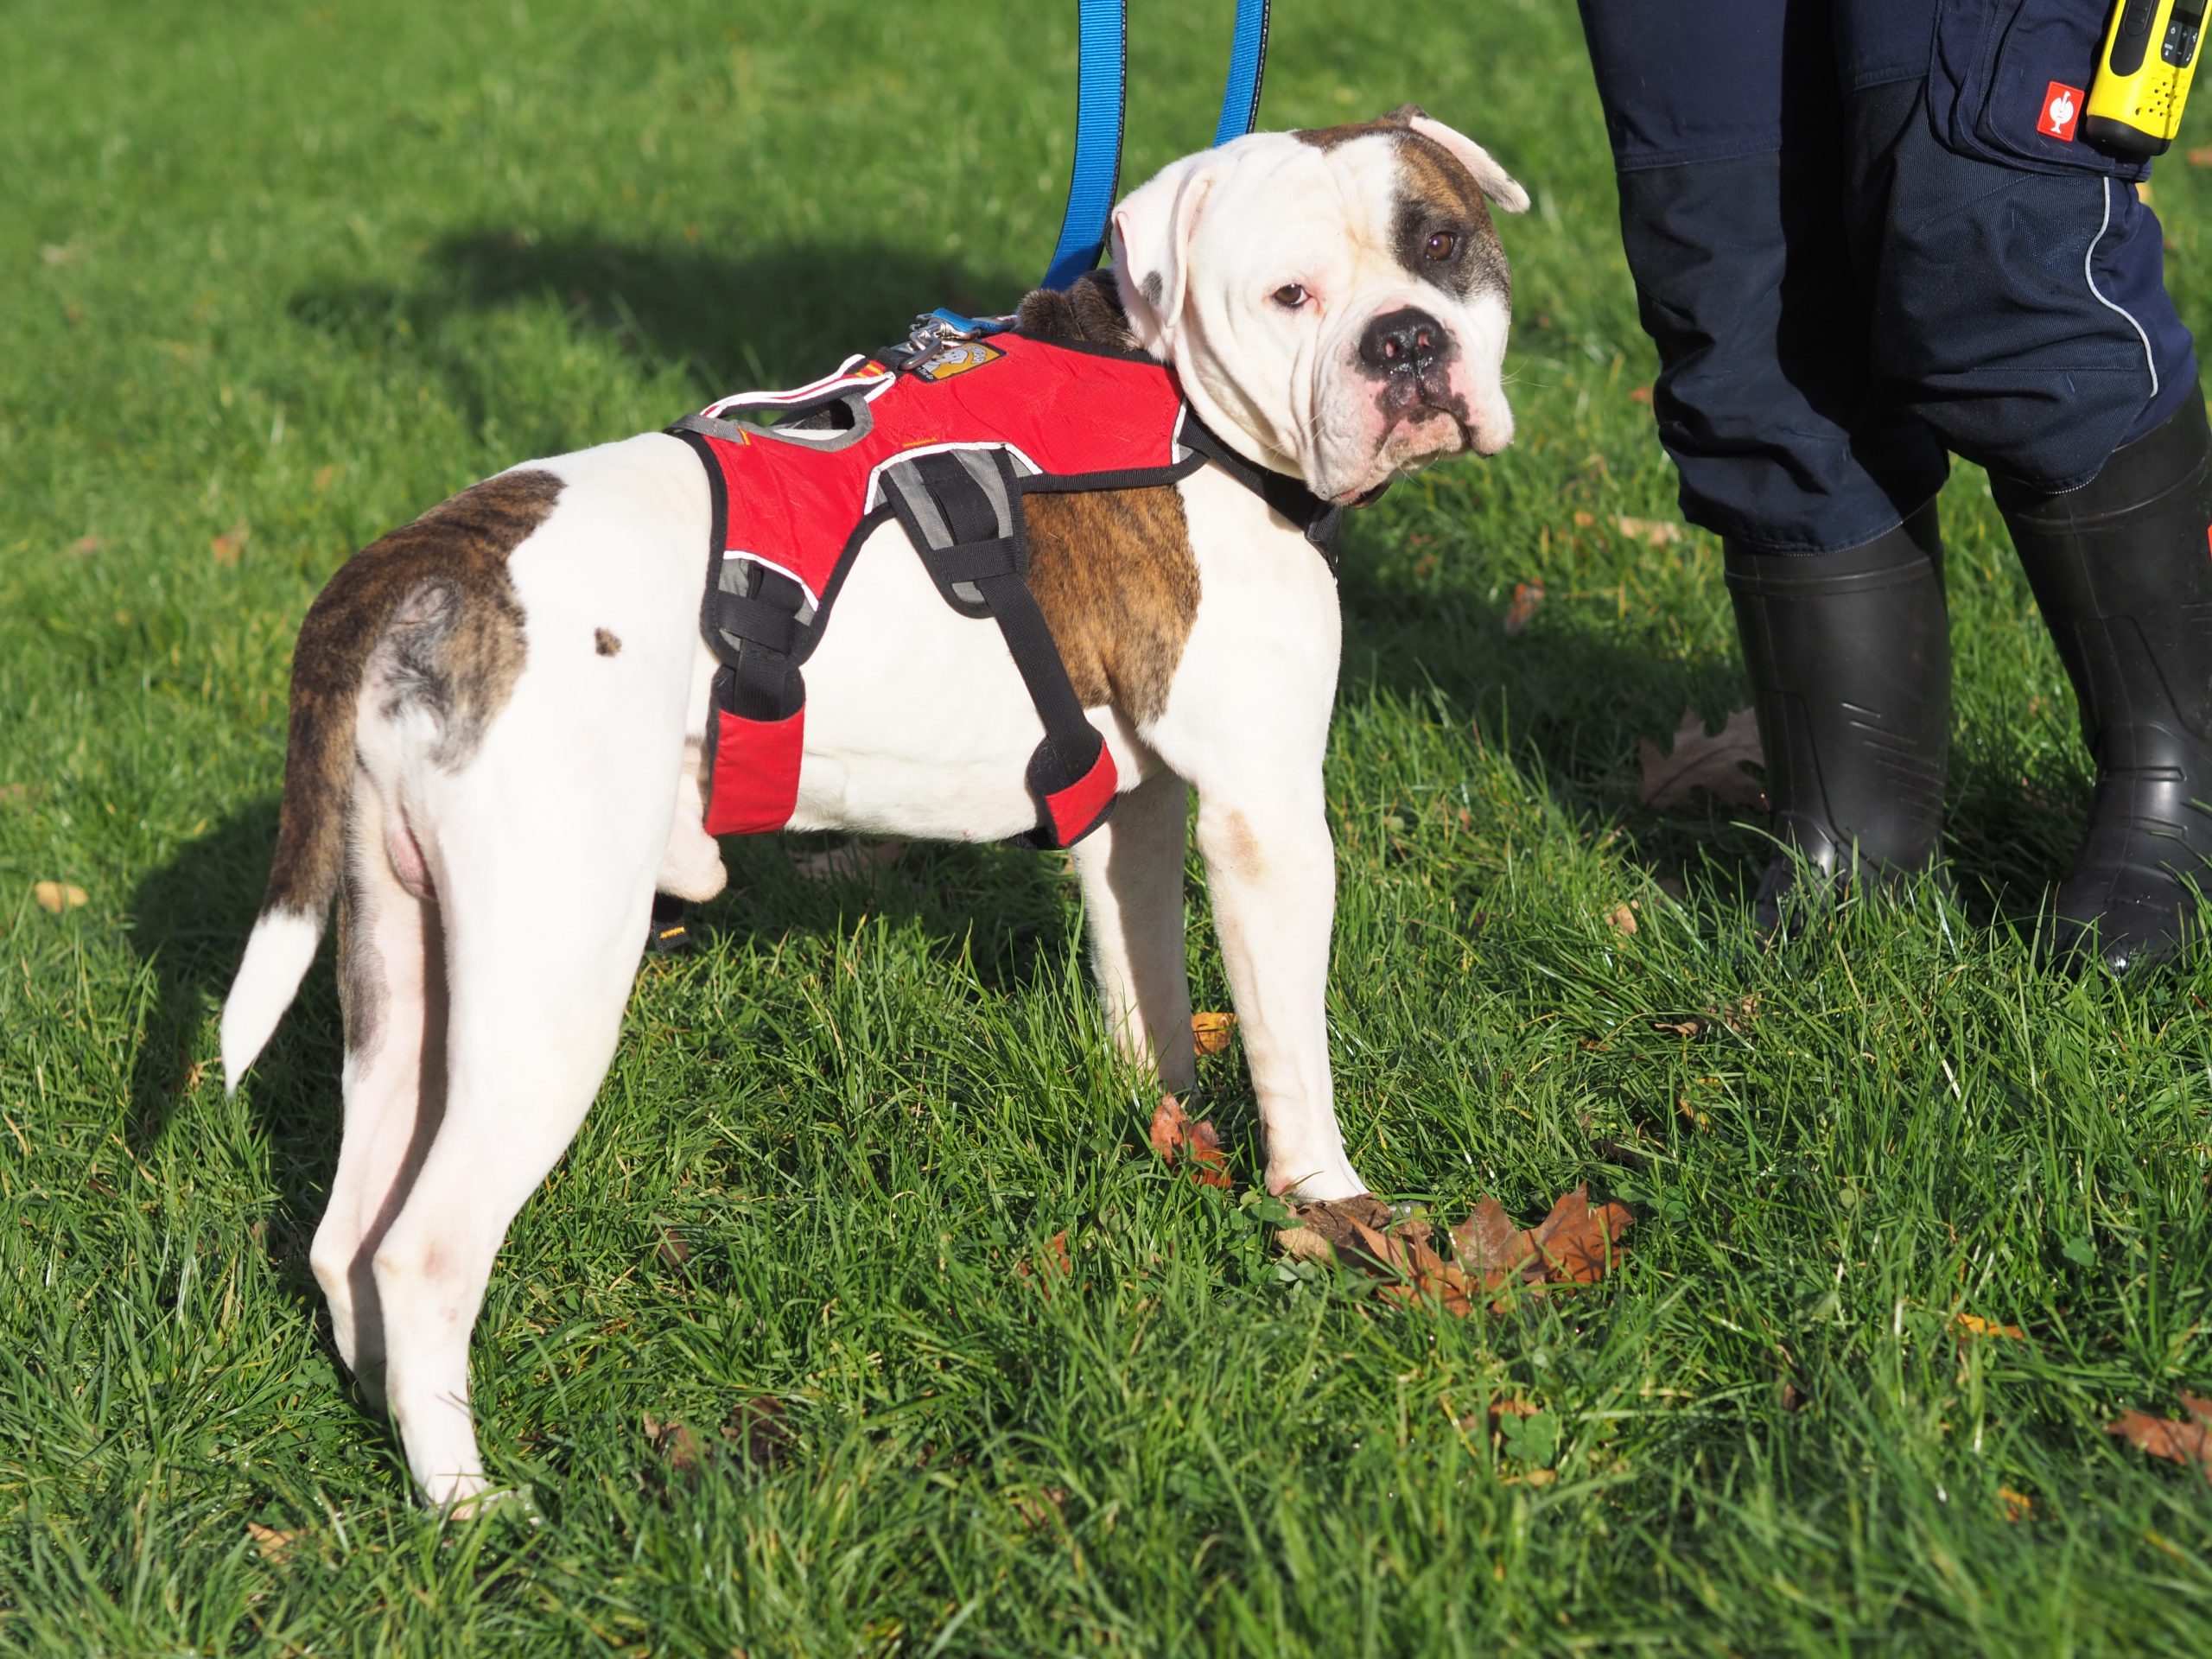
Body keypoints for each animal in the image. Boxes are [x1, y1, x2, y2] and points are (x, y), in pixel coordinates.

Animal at [220, 107, 1526, 1509]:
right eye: (1292, 295)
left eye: (1439, 246)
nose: (1407, 344)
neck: (1182, 406)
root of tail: (419, 561)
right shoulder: (1267, 818)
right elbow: (1295, 1050)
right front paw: (1330, 1205)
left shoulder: (1134, 815)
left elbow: (1151, 994)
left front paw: (1164, 1128)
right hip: (550, 988)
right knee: (423, 1250)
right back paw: (469, 1505)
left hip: (405, 965)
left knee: (347, 1234)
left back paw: (393, 1428)